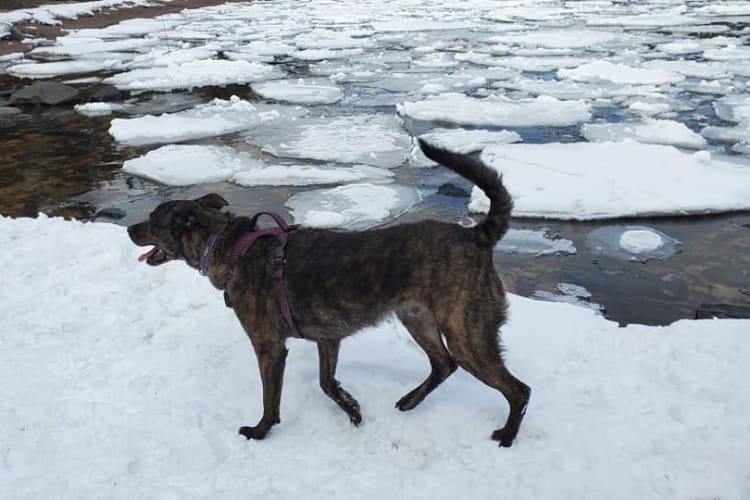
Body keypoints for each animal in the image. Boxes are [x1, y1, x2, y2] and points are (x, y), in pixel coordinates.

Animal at [128, 139, 528, 448]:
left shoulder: (269, 347)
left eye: (153, 220)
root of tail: (476, 235)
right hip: (418, 318)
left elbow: (271, 399)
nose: (130, 229)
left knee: (517, 389)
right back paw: (411, 401)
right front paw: (351, 406)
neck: (230, 246)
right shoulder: (327, 336)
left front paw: (260, 432)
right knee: (443, 364)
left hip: (466, 332)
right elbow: (325, 382)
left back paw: (508, 435)